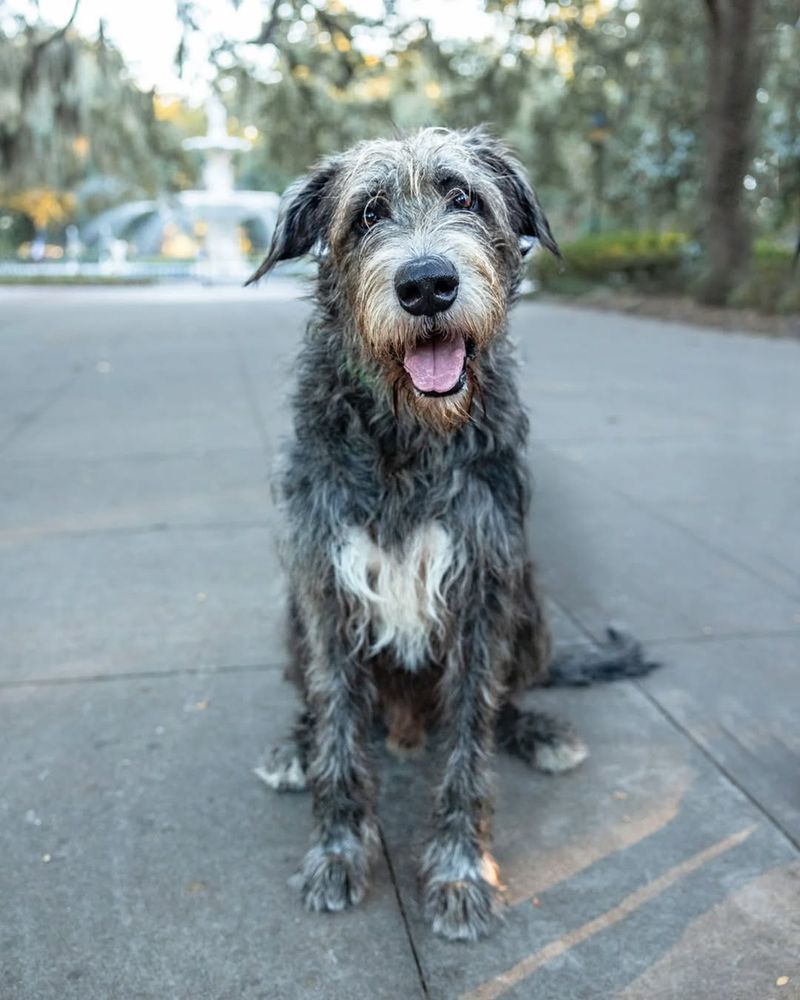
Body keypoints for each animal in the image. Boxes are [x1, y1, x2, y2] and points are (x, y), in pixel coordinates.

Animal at [250, 129, 656, 940]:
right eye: (368, 213)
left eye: (464, 197)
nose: (427, 284)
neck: (408, 434)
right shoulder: (325, 588)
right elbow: (339, 731)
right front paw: (337, 852)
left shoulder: (481, 591)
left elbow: (471, 739)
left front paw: (461, 871)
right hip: (293, 619)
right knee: (320, 704)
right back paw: (293, 746)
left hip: (528, 601)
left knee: (504, 700)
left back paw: (537, 730)